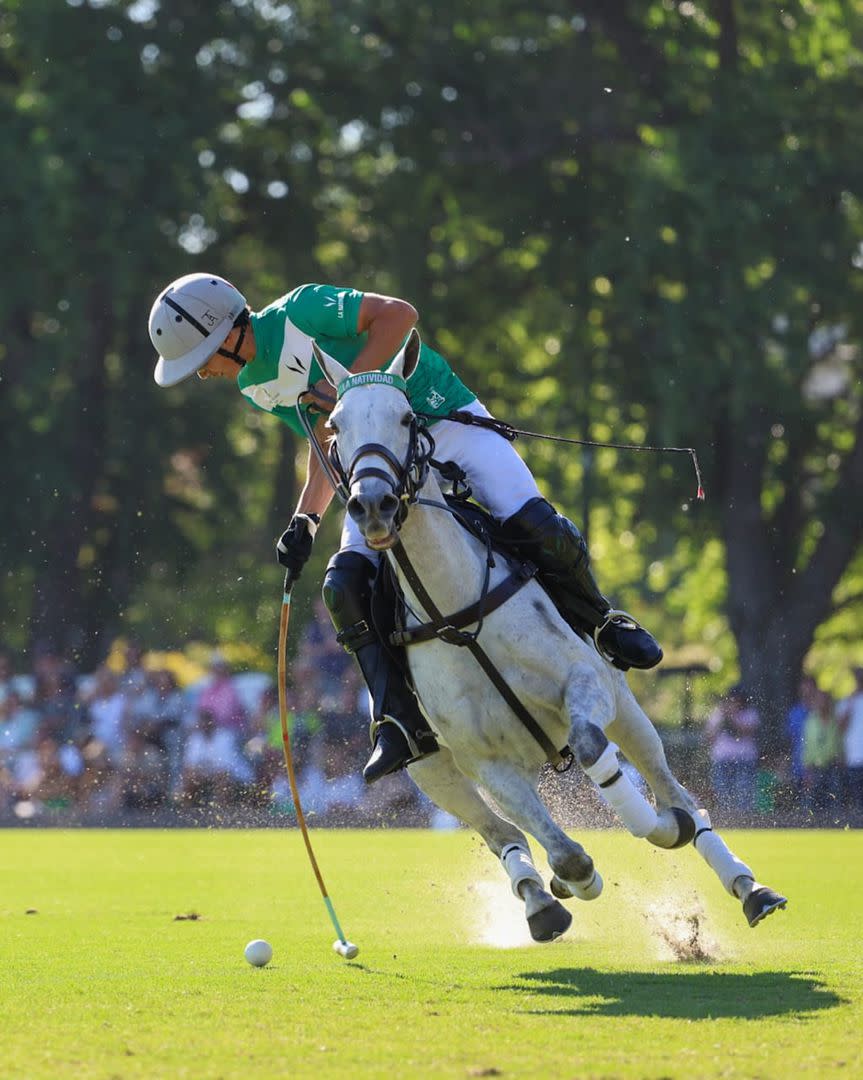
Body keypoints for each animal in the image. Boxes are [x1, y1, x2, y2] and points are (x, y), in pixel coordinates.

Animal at [313, 332, 786, 941]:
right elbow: (565, 853)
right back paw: (539, 899)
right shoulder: (486, 761)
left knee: (677, 793)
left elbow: (597, 754)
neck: (456, 610)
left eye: (405, 416)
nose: (372, 504)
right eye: (335, 426)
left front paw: (657, 827)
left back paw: (747, 885)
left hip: (627, 706)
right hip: (431, 768)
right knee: (502, 832)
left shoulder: (586, 685)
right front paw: (567, 883)